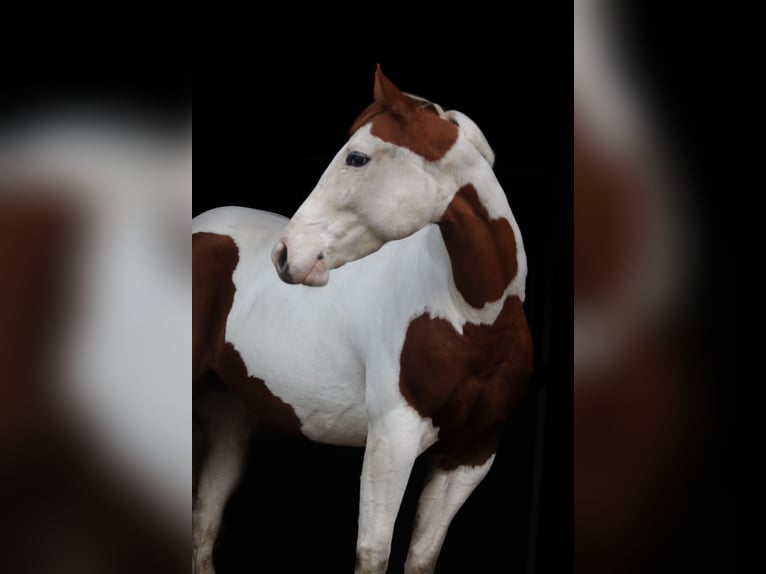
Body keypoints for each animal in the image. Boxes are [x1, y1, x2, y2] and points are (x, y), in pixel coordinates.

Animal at [192, 66, 533, 574]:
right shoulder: (393, 438)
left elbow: (421, 557)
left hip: (227, 411)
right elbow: (373, 553)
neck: (471, 319)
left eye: (356, 158)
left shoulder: (472, 455)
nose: (285, 254)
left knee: (204, 525)